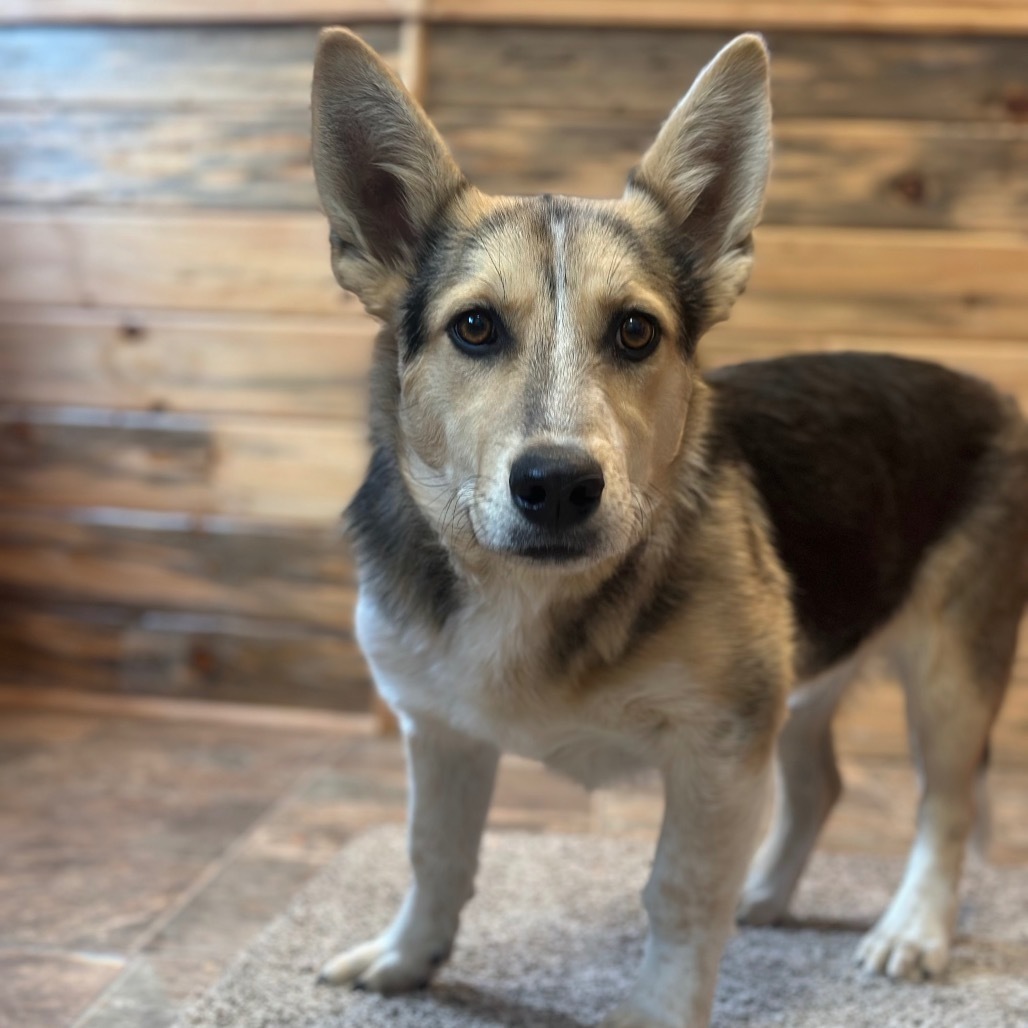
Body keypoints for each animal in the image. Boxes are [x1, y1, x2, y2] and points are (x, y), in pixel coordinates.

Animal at [308, 30, 1028, 1028]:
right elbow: (434, 854)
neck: (529, 592)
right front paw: (411, 955)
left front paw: (658, 1008)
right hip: (806, 667)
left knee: (946, 808)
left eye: (637, 333)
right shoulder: (441, 731)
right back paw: (767, 892)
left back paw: (914, 928)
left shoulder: (717, 750)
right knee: (821, 785)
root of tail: (989, 392)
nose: (558, 486)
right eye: (475, 328)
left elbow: (680, 891)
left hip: (950, 674)